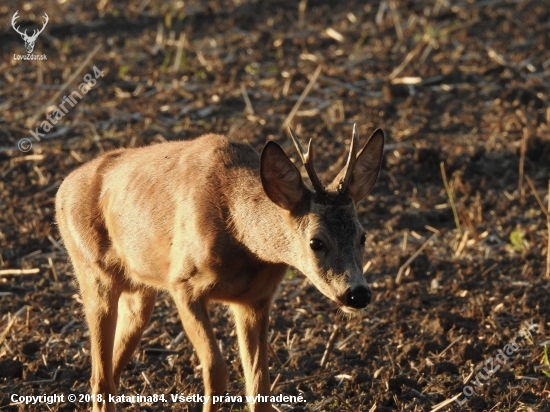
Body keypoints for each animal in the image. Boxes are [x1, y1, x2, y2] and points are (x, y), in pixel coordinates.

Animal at [55, 124, 384, 410]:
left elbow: (259, 385)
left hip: (139, 292)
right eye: (316, 242)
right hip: (92, 271)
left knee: (110, 371)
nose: (357, 294)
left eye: (363, 236)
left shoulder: (256, 299)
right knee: (100, 377)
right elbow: (216, 372)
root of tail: (62, 187)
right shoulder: (182, 284)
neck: (241, 235)